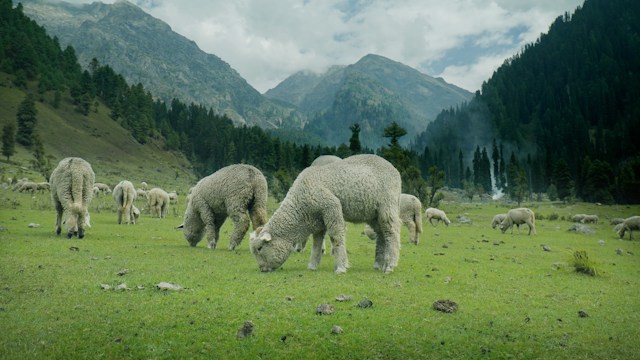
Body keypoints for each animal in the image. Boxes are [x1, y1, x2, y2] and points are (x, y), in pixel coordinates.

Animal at [249, 153, 400, 274]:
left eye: (260, 248)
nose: (262, 269)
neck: (300, 206)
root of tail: (393, 168)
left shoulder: (331, 206)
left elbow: (336, 237)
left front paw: (341, 267)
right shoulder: (318, 220)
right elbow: (316, 243)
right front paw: (312, 266)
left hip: (387, 205)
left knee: (391, 233)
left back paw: (390, 266)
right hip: (373, 214)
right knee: (381, 234)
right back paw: (379, 264)